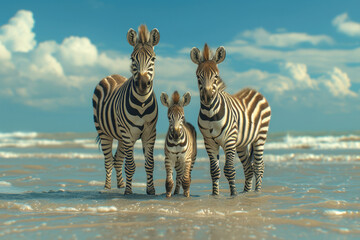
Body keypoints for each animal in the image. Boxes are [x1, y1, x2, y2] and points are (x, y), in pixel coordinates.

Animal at [93, 24, 160, 195]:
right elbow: (130, 165)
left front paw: (151, 190)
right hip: (105, 132)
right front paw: (129, 192)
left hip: (121, 136)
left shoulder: (150, 132)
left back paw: (121, 185)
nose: (142, 84)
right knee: (108, 159)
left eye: (153, 59)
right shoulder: (128, 134)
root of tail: (112, 75)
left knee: (117, 158)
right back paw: (107, 187)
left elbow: (150, 163)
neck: (142, 104)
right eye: (132, 59)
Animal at [190, 44, 272, 196]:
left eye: (216, 76)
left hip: (260, 136)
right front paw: (215, 195)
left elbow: (229, 170)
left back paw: (257, 192)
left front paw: (233, 194)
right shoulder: (209, 142)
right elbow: (214, 171)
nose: (207, 98)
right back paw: (246, 192)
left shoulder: (229, 140)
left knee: (259, 166)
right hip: (241, 143)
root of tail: (255, 91)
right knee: (248, 168)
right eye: (198, 76)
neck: (210, 114)